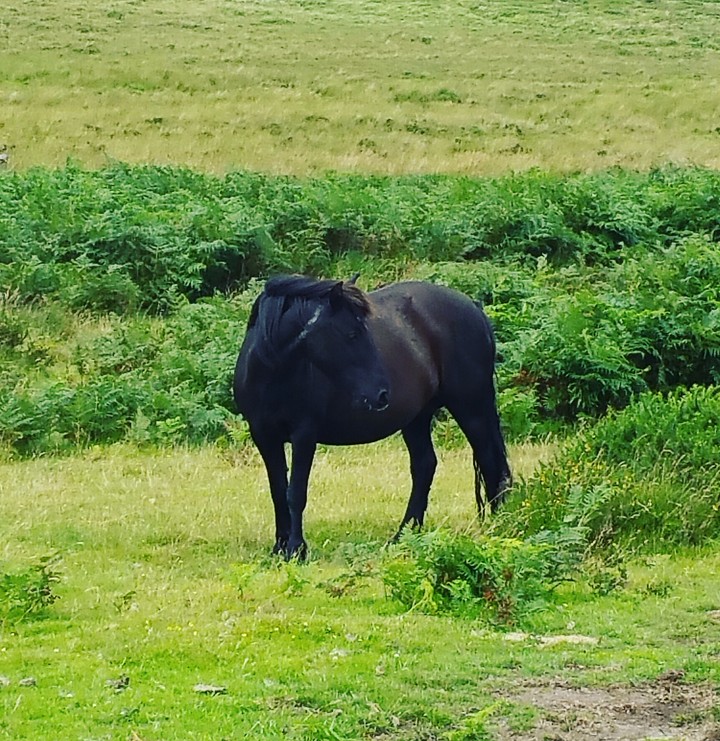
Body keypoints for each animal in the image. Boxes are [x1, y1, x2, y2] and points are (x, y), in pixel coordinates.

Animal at [233, 274, 512, 559]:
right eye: (352, 334)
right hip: (417, 418)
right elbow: (278, 490)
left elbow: (295, 492)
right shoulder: (264, 436)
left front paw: (296, 549)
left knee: (490, 462)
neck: (272, 376)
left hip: (471, 407)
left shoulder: (304, 436)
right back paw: (404, 534)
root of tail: (473, 308)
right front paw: (280, 546)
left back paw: (498, 524)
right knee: (425, 465)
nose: (381, 394)